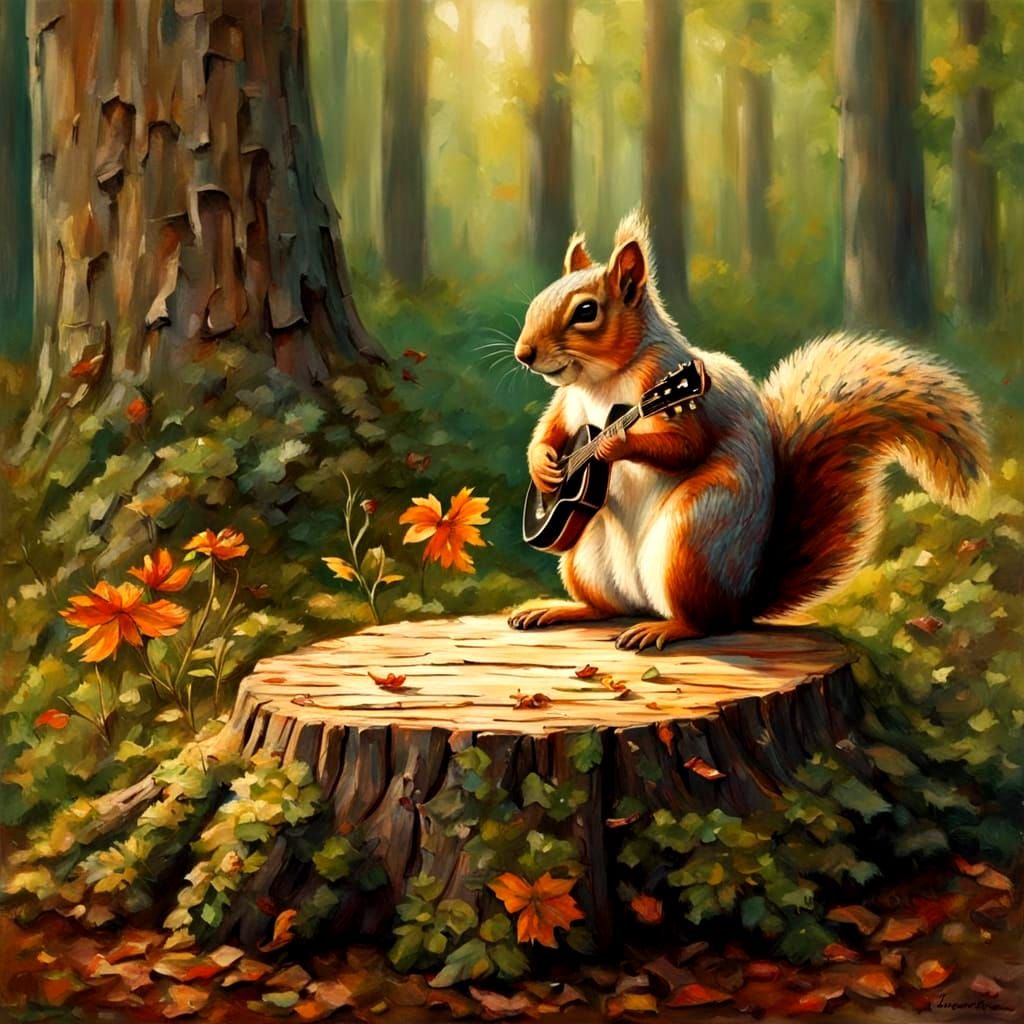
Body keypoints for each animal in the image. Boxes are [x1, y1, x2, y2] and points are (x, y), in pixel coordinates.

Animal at [508, 210, 989, 650]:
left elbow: (684, 446)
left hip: (692, 539)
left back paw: (666, 629)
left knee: (706, 622)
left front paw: (612, 444)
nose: (523, 354)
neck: (601, 379)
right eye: (537, 301)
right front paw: (545, 467)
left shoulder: (664, 380)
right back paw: (559, 610)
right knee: (606, 607)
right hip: (583, 558)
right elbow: (548, 432)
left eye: (586, 311)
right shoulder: (569, 403)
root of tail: (745, 601)